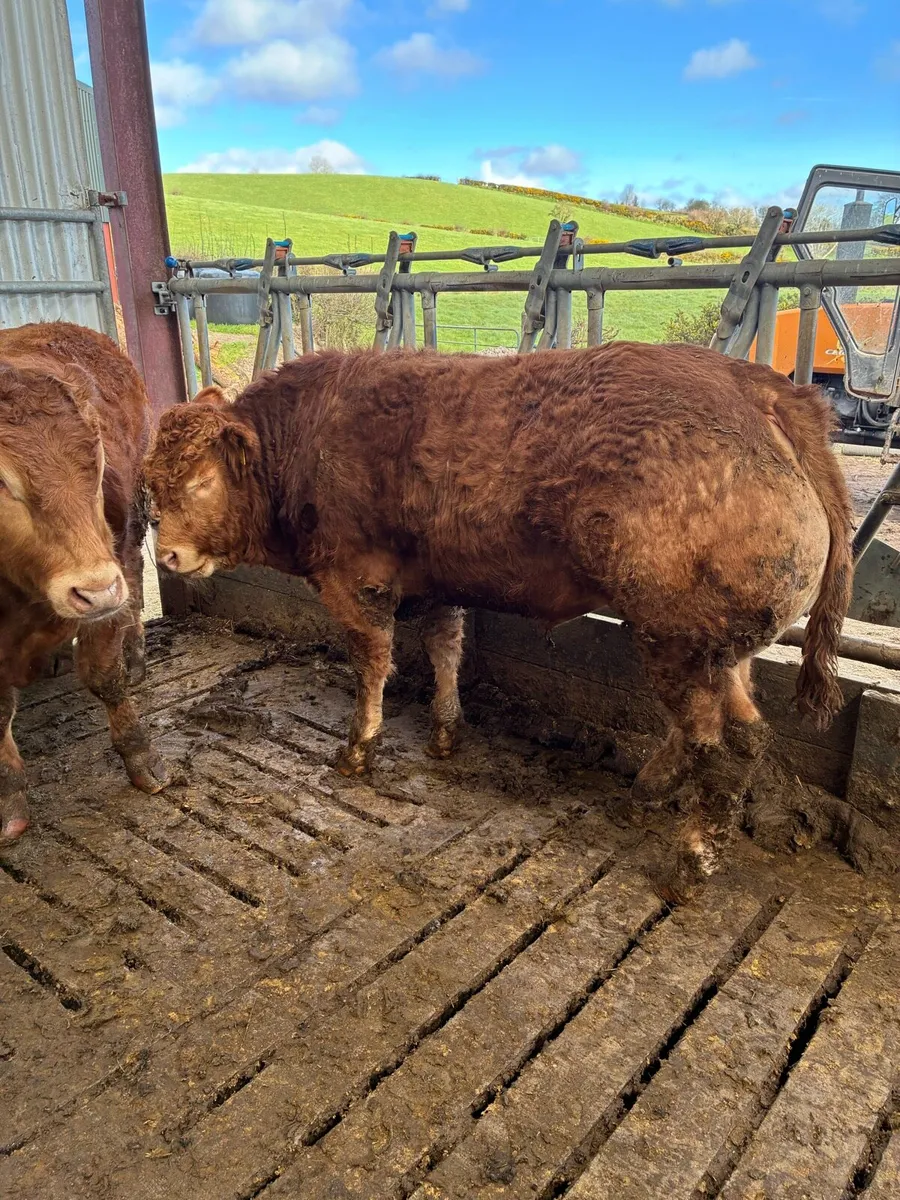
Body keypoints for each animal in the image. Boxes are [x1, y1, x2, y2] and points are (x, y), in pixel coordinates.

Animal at [0, 322, 170, 843]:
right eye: (2, 482)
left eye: (95, 464)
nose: (94, 590)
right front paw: (9, 800)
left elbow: (103, 676)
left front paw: (141, 756)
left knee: (134, 579)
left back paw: (135, 653)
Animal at [146, 343, 853, 902]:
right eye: (152, 483)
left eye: (201, 482)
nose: (167, 555)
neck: (310, 434)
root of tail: (759, 387)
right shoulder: (434, 581)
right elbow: (445, 647)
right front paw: (445, 730)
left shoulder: (353, 581)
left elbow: (373, 661)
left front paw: (357, 747)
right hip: (712, 647)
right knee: (736, 730)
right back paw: (653, 786)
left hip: (680, 641)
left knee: (724, 745)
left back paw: (691, 861)